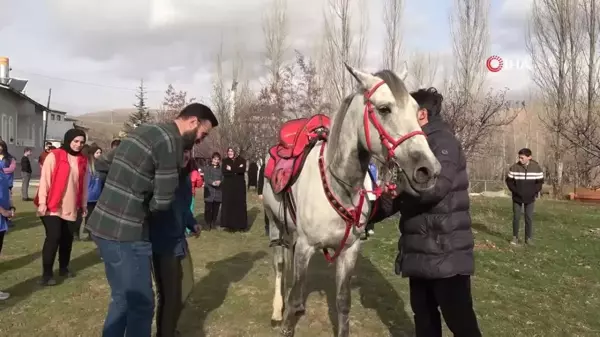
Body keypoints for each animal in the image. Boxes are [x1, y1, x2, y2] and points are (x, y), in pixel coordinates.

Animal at [262, 63, 440, 336]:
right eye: (384, 109)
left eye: (415, 109)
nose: (428, 170)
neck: (339, 186)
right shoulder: (305, 247)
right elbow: (292, 299)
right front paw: (286, 320)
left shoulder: (349, 250)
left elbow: (343, 302)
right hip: (275, 224)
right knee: (280, 264)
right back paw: (275, 310)